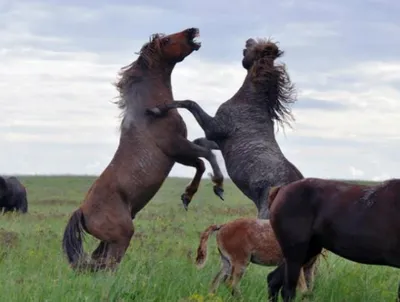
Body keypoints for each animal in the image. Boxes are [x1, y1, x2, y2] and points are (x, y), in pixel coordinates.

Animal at [61, 28, 225, 272]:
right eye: (167, 40)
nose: (192, 31)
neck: (150, 111)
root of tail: (81, 212)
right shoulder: (175, 146)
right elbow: (206, 156)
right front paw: (218, 185)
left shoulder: (178, 153)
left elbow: (201, 160)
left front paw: (187, 196)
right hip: (122, 236)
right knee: (107, 267)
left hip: (108, 240)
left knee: (99, 263)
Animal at [147, 37, 304, 218]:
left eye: (255, 48)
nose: (248, 40)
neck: (250, 103)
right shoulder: (218, 140)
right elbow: (201, 142)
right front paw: (212, 186)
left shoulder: (214, 128)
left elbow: (189, 103)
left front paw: (156, 109)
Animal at [195, 217, 324, 298]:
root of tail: (223, 226)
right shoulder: (296, 265)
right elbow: (304, 290)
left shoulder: (309, 267)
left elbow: (309, 289)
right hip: (240, 262)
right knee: (231, 283)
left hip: (227, 262)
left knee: (216, 281)